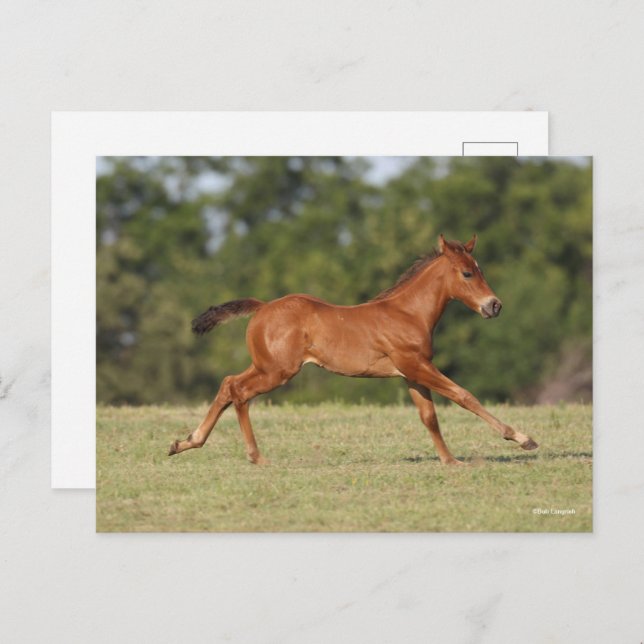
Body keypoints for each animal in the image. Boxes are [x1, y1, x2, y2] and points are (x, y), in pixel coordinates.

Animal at [168, 234, 538, 465]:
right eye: (466, 273)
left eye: (480, 270)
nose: (494, 306)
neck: (407, 313)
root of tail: (262, 307)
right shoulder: (416, 366)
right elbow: (464, 396)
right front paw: (523, 439)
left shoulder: (411, 373)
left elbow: (429, 417)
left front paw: (450, 461)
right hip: (277, 371)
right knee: (239, 392)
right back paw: (255, 456)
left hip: (265, 365)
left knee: (228, 384)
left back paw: (185, 442)